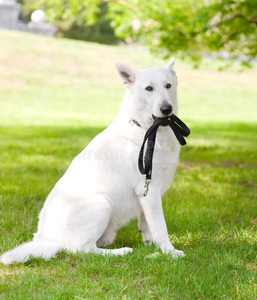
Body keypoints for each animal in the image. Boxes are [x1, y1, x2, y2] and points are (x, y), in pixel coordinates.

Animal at [0, 58, 184, 264]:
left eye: (168, 85)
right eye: (149, 88)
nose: (166, 109)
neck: (148, 129)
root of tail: (47, 241)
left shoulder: (148, 195)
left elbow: (148, 225)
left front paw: (152, 247)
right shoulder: (149, 190)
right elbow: (160, 227)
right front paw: (170, 252)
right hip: (102, 205)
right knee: (81, 250)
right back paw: (120, 252)